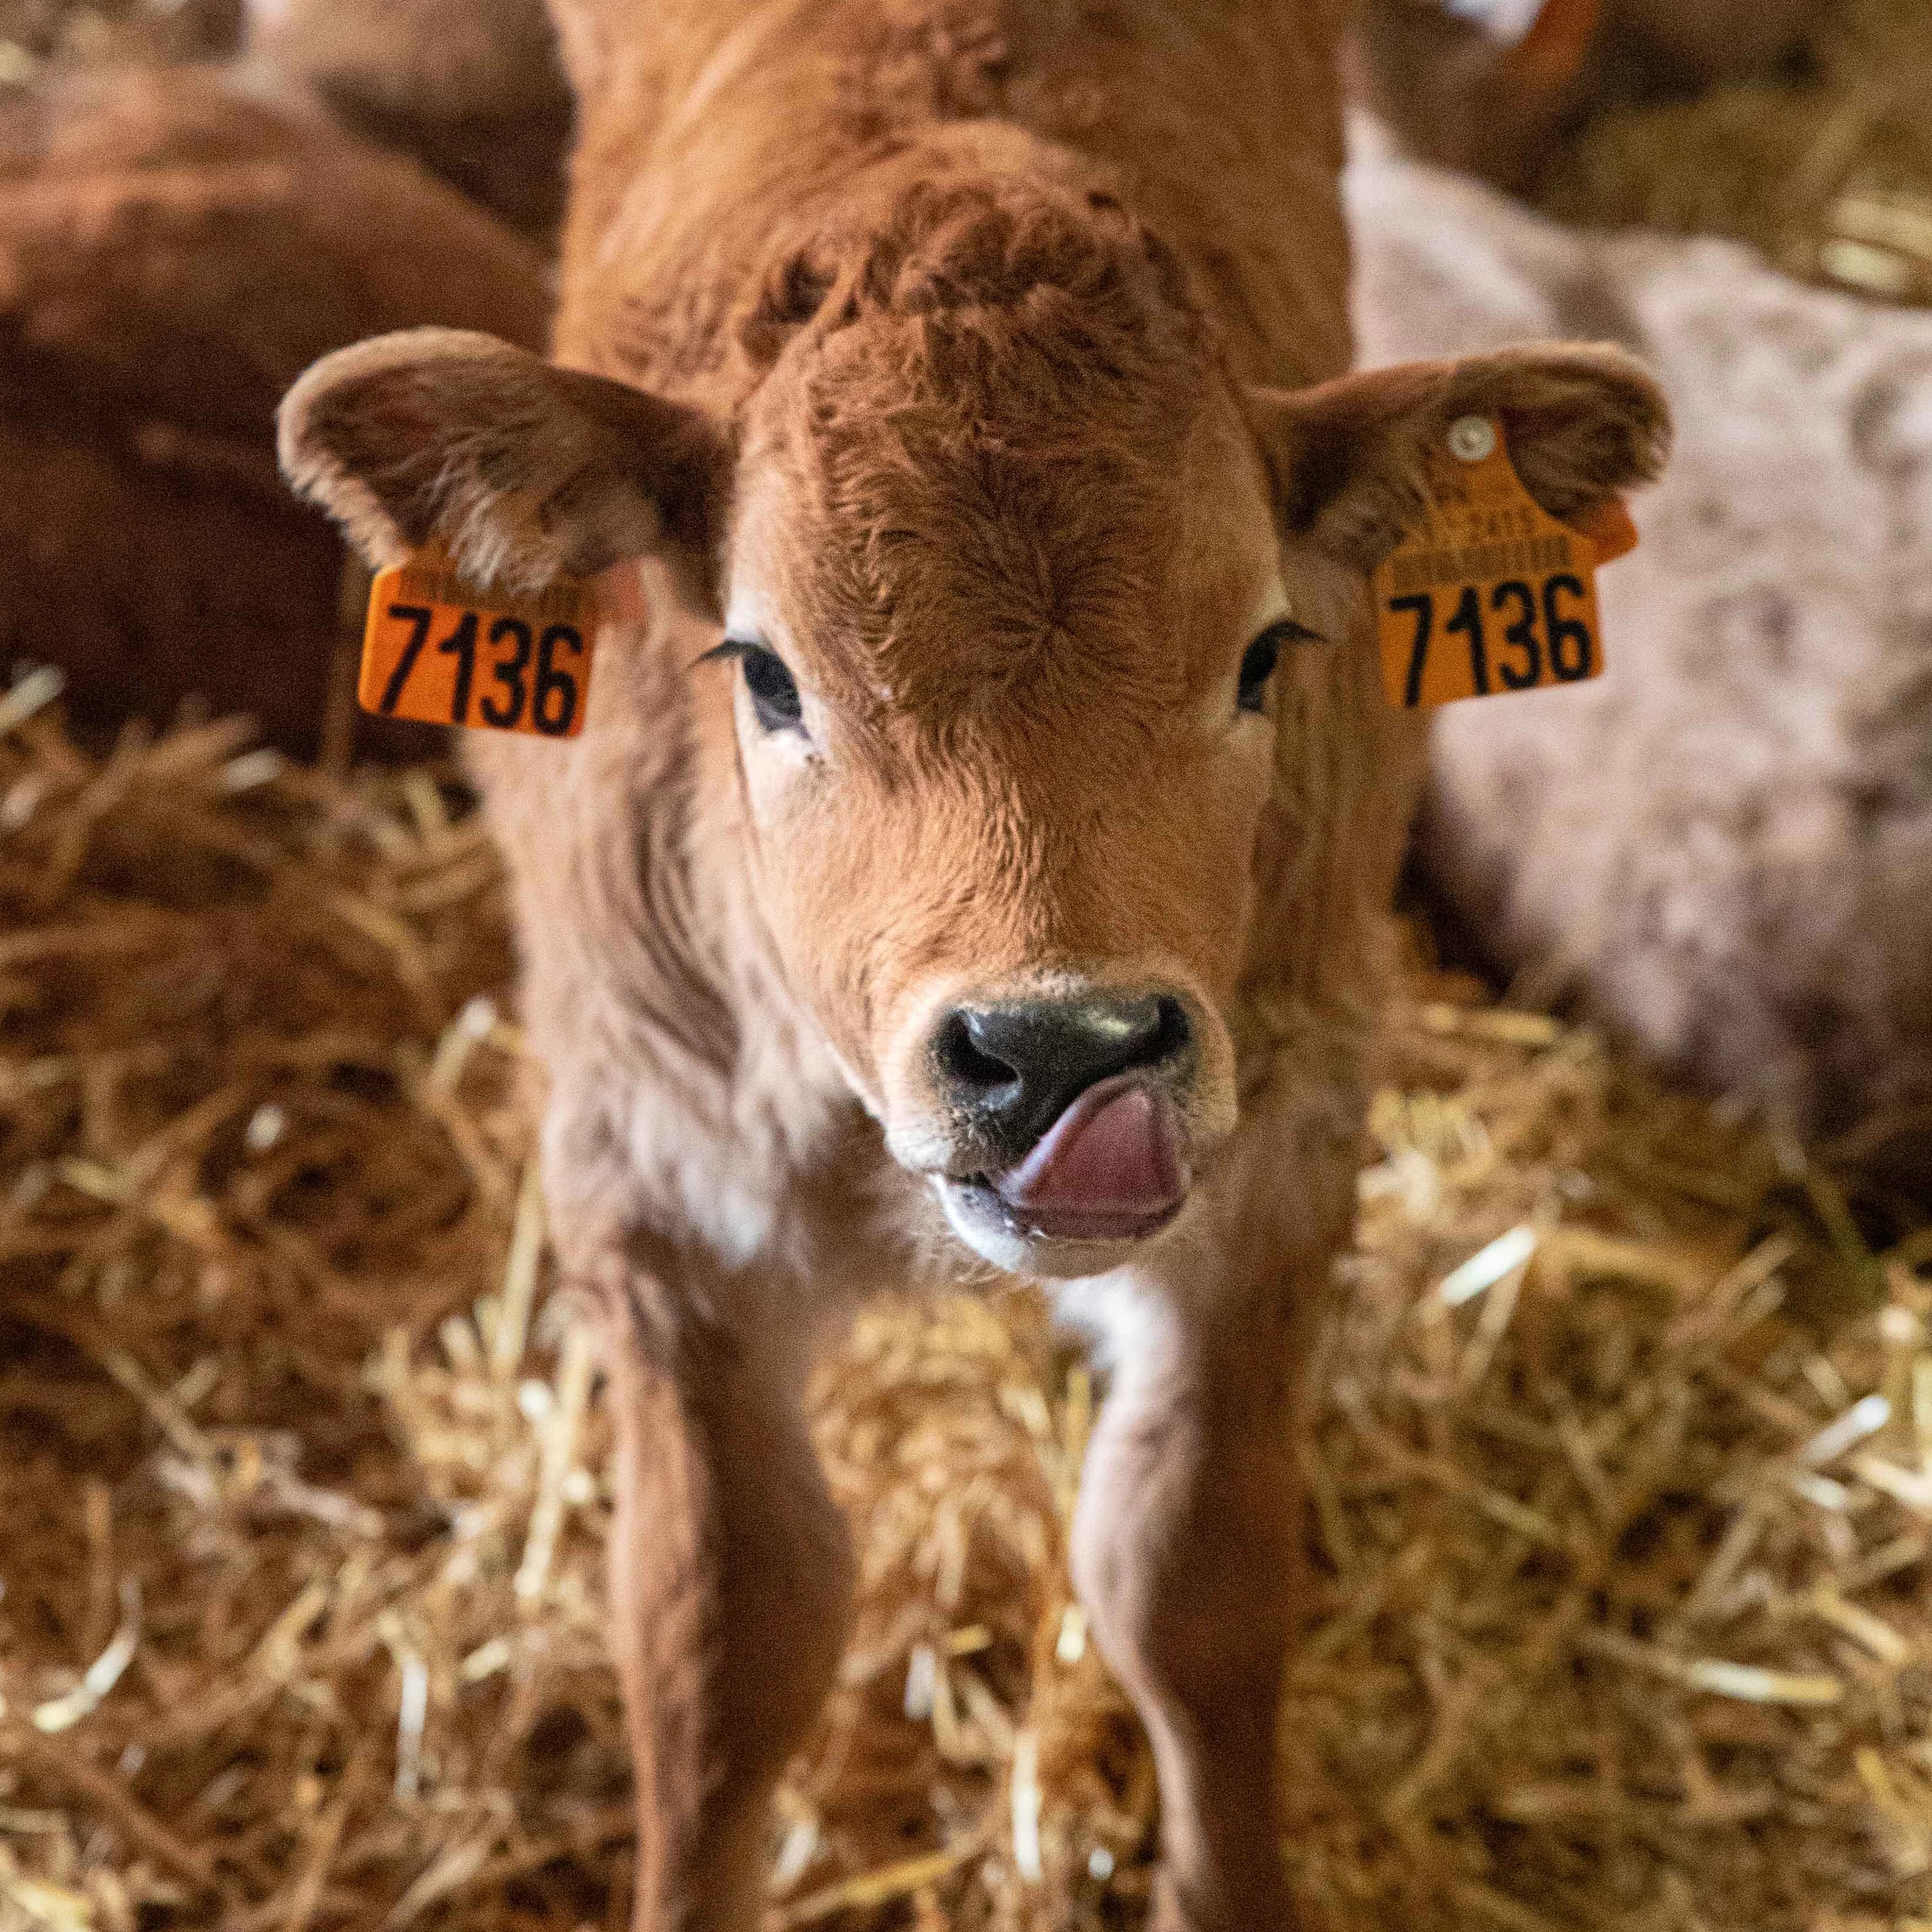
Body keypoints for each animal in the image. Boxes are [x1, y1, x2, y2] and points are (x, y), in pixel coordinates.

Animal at [278, 4, 1669, 1925]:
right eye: (763, 670)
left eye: (1263, 655)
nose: (1062, 1048)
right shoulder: (652, 1187)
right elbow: (720, 1637)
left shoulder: (1277, 1168)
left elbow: (1192, 1582)